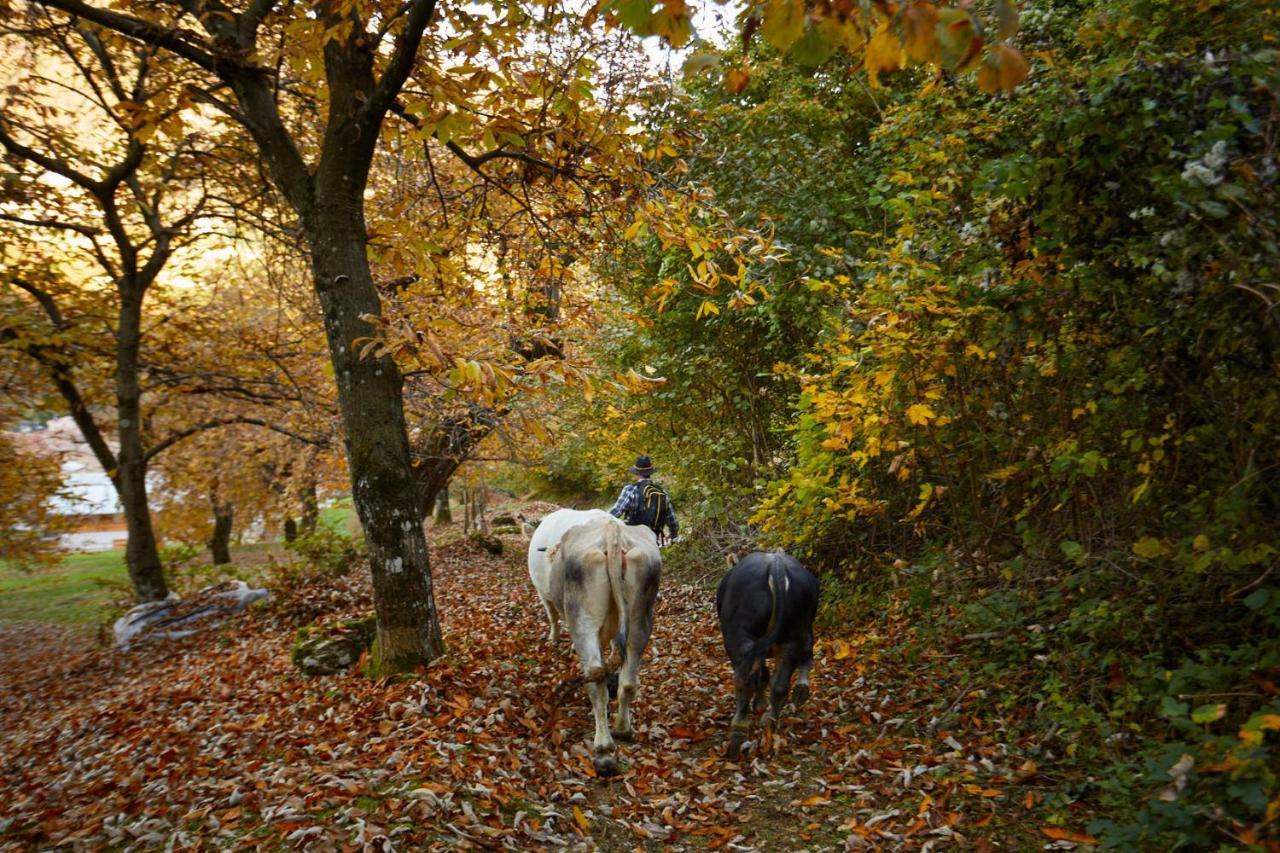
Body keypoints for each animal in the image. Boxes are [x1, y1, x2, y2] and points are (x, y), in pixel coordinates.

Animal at [547, 514, 660, 773]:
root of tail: (613, 532)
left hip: (583, 620)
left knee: (595, 677)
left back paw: (603, 750)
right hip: (641, 619)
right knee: (628, 680)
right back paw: (623, 729)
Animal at [716, 550, 814, 758]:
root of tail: (776, 565)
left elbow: (761, 675)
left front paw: (758, 704)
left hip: (739, 636)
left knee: (745, 678)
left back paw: (738, 731)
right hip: (794, 635)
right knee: (783, 681)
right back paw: (774, 717)